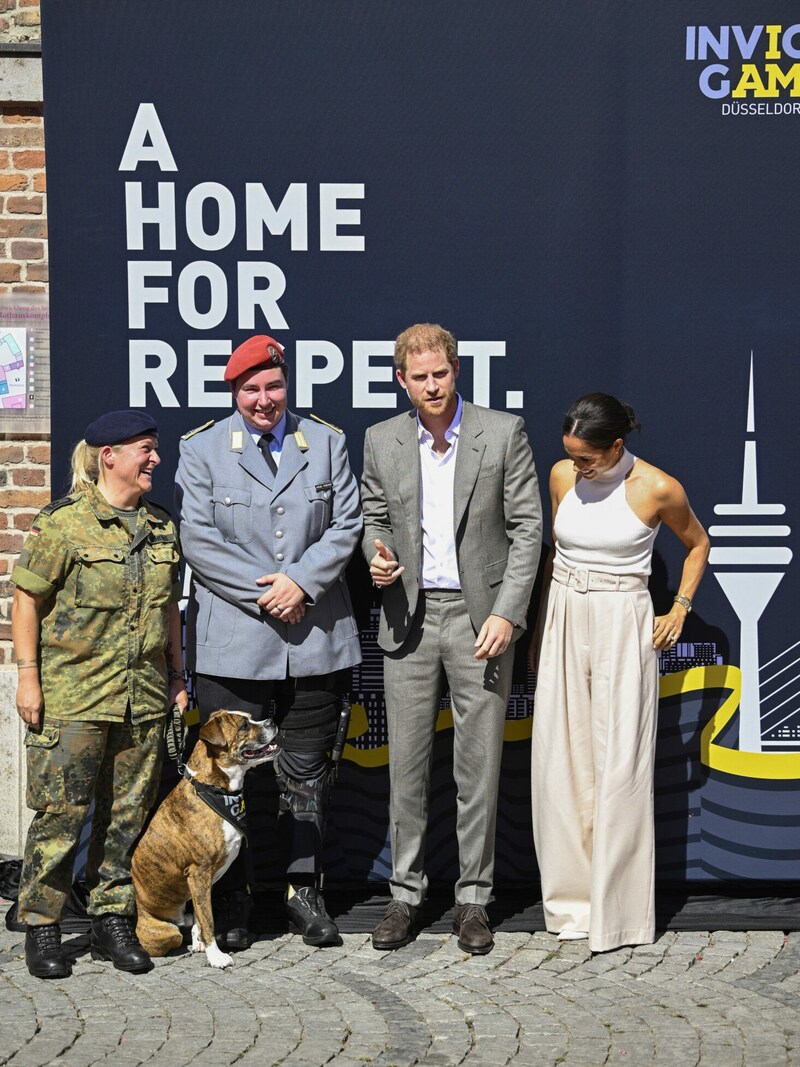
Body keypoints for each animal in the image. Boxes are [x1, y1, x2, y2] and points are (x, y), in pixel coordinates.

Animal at [132, 708, 279, 968]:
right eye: (244, 726)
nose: (271, 720)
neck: (214, 789)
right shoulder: (199, 872)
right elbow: (208, 918)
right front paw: (216, 956)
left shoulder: (202, 880)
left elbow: (203, 916)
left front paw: (202, 943)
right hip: (166, 932)